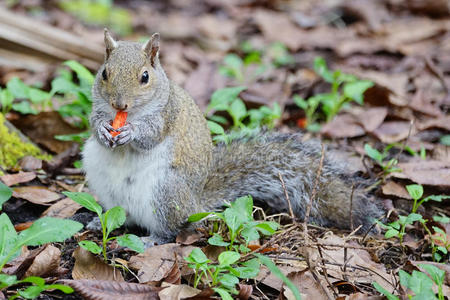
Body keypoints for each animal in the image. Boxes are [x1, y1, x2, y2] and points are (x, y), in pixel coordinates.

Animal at [81, 29, 384, 243]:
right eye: (104, 73)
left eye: (144, 77)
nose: (119, 105)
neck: (131, 113)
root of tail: (195, 202)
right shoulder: (98, 108)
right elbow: (93, 122)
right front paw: (103, 129)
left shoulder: (167, 114)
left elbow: (151, 135)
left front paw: (130, 132)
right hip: (103, 182)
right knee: (123, 216)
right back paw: (100, 221)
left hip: (166, 193)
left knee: (171, 229)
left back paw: (151, 240)